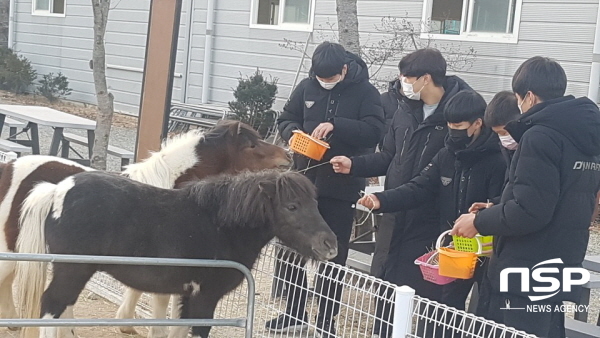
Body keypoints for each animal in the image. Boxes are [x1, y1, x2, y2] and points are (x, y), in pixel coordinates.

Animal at [17, 170, 338, 338]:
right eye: (292, 206)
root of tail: (58, 191)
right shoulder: (204, 298)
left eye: (315, 203)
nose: (330, 244)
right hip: (72, 271)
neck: (219, 224)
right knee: (53, 305)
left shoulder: (187, 298)